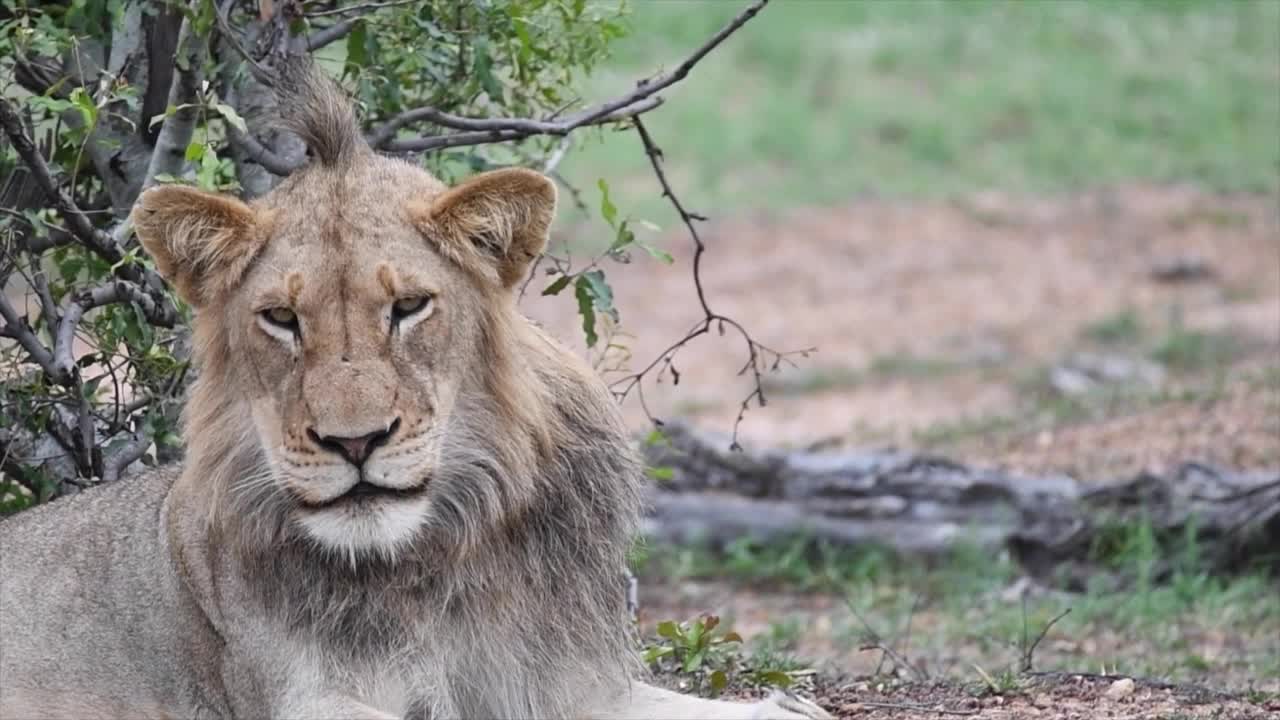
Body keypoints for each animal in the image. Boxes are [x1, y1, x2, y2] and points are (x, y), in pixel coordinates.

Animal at [0, 61, 829, 717]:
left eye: (408, 307)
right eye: (281, 319)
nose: (354, 441)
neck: (439, 554)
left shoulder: (566, 680)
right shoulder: (300, 697)